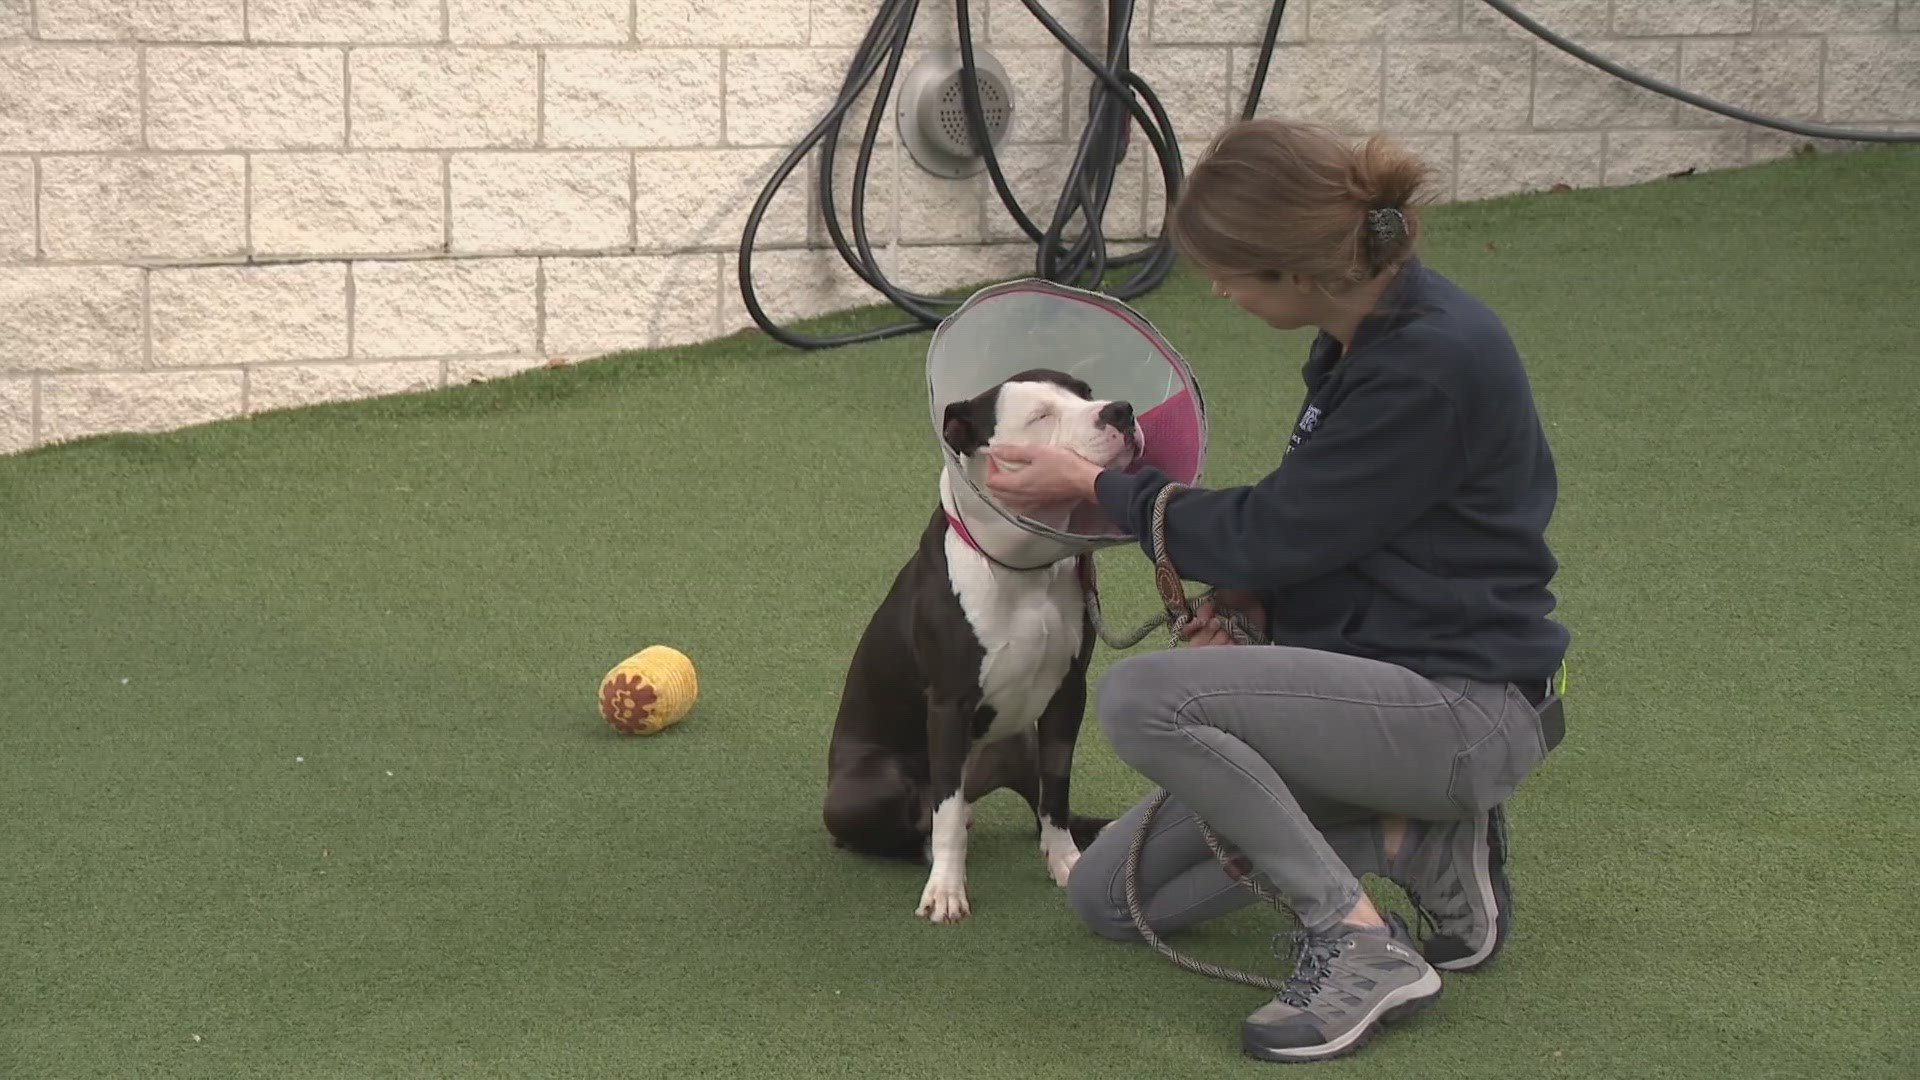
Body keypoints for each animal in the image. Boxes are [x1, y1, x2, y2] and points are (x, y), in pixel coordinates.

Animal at [821, 367, 1136, 914]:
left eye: (1086, 393)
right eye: (1040, 416)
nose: (1121, 411)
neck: (1025, 567)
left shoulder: (1067, 692)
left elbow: (1057, 793)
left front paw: (1066, 862)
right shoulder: (949, 704)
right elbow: (946, 814)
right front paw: (946, 890)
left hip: (1019, 745)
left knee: (1034, 803)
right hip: (865, 789)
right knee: (918, 822)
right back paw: (928, 849)